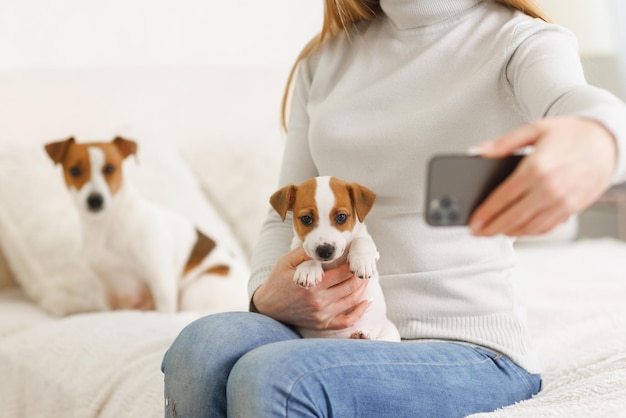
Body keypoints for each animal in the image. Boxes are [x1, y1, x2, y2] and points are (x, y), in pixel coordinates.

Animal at [45, 137, 245, 314]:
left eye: (110, 168)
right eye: (75, 171)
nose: (95, 200)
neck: (108, 224)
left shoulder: (160, 281)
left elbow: (165, 310)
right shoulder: (107, 293)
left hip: (197, 290)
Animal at [270, 175, 400, 342]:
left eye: (341, 217)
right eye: (306, 219)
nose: (325, 251)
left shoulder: (366, 238)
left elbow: (361, 240)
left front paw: (363, 262)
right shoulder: (298, 245)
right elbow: (305, 252)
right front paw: (308, 270)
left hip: (389, 331)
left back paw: (362, 336)